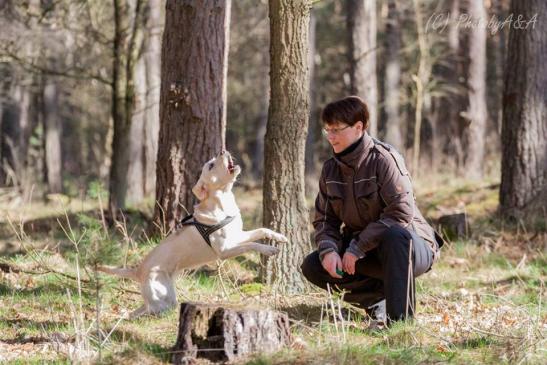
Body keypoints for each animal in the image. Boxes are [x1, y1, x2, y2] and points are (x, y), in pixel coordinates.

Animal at [98, 149, 288, 318]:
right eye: (211, 165)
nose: (223, 150)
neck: (223, 202)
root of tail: (137, 271)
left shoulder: (237, 235)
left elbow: (261, 231)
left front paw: (279, 237)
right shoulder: (225, 251)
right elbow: (251, 245)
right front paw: (269, 250)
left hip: (161, 295)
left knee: (139, 310)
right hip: (163, 296)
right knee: (152, 311)